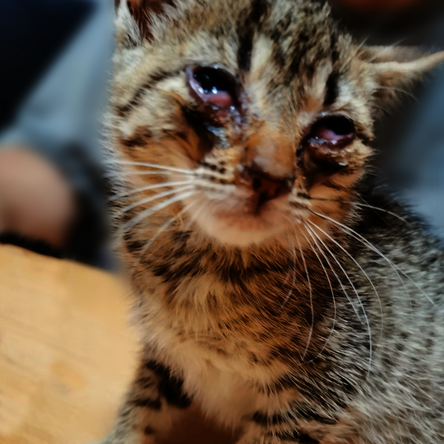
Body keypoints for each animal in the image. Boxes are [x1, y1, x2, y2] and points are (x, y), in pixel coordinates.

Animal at [99, 0, 444, 444]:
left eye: (336, 129)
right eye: (213, 84)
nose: (270, 176)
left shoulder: (317, 398)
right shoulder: (164, 358)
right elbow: (139, 413)